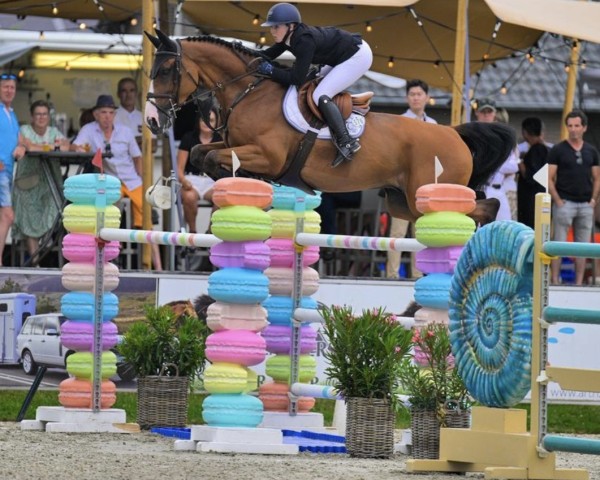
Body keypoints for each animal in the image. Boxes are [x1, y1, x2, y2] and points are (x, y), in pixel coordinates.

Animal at [143, 30, 512, 225]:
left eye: (166, 71)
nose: (150, 120)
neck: (249, 92)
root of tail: (453, 133)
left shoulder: (267, 156)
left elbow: (211, 158)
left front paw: (238, 180)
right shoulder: (232, 146)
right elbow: (202, 152)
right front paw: (235, 181)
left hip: (426, 194)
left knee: (484, 207)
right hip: (403, 203)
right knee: (479, 206)